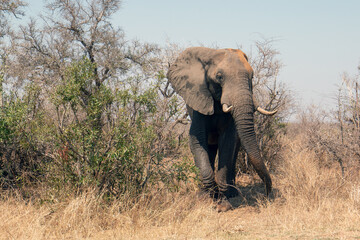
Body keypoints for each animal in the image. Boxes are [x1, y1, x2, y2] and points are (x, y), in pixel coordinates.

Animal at [167, 47, 276, 212]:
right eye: (219, 77)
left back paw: (231, 193)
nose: (267, 195)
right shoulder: (199, 98)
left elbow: (228, 143)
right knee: (210, 150)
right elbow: (196, 140)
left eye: (252, 76)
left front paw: (223, 205)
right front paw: (206, 198)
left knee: (234, 151)